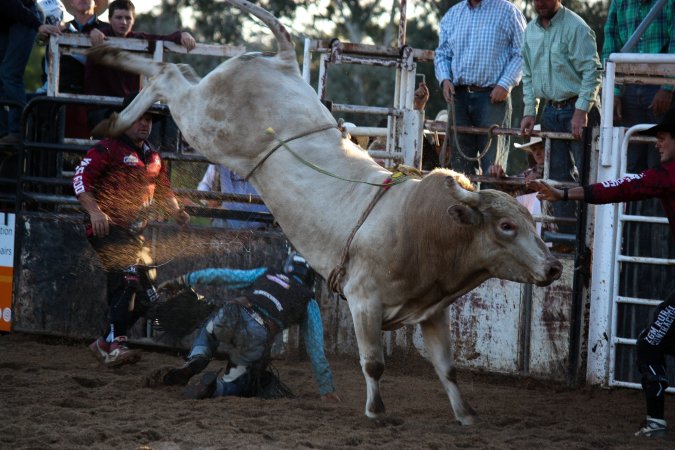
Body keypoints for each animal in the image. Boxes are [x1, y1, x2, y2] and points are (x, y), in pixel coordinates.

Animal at [87, 0, 562, 426]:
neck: (424, 227)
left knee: (178, 74)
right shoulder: (364, 300)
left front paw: (466, 416)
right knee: (169, 77)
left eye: (531, 223)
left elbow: (447, 368)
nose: (555, 267)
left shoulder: (432, 312)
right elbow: (373, 363)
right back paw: (108, 88)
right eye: (506, 226)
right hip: (204, 122)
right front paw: (376, 412)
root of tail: (282, 61)